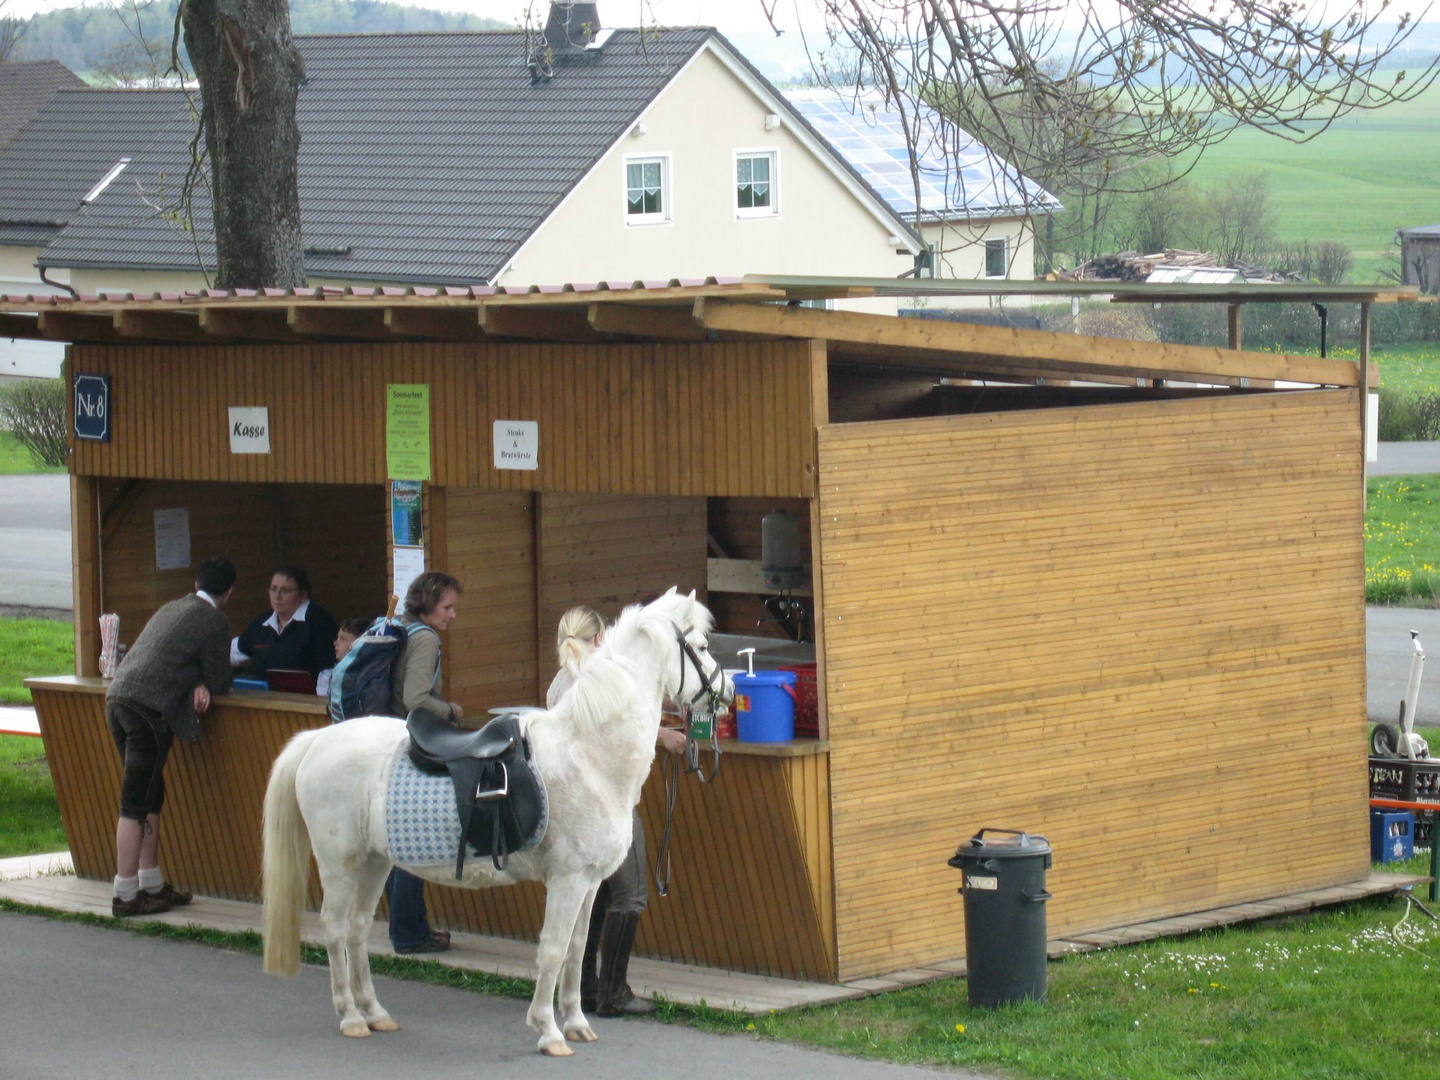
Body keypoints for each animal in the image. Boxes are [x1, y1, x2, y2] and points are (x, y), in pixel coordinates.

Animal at [260, 593, 731, 1059]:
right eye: (702, 646)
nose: (727, 691)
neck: (587, 755)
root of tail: (317, 741)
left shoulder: (591, 881)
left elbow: (578, 949)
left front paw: (577, 1023)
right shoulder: (568, 880)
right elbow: (553, 950)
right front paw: (548, 1030)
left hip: (375, 863)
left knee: (357, 929)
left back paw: (375, 1013)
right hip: (339, 865)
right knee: (336, 929)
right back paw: (351, 1016)